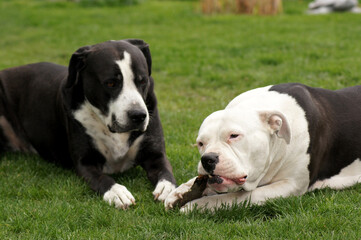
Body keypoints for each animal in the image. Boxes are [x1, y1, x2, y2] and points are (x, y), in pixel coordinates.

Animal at [0, 39, 175, 208]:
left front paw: (169, 190)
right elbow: (102, 178)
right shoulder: (85, 163)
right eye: (111, 83)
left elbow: (166, 171)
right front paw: (117, 192)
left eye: (142, 80)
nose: (138, 115)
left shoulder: (155, 154)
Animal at [165, 82, 360, 212]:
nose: (207, 158)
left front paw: (198, 205)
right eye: (201, 143)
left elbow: (238, 197)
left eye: (234, 135)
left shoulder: (291, 184)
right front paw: (181, 192)